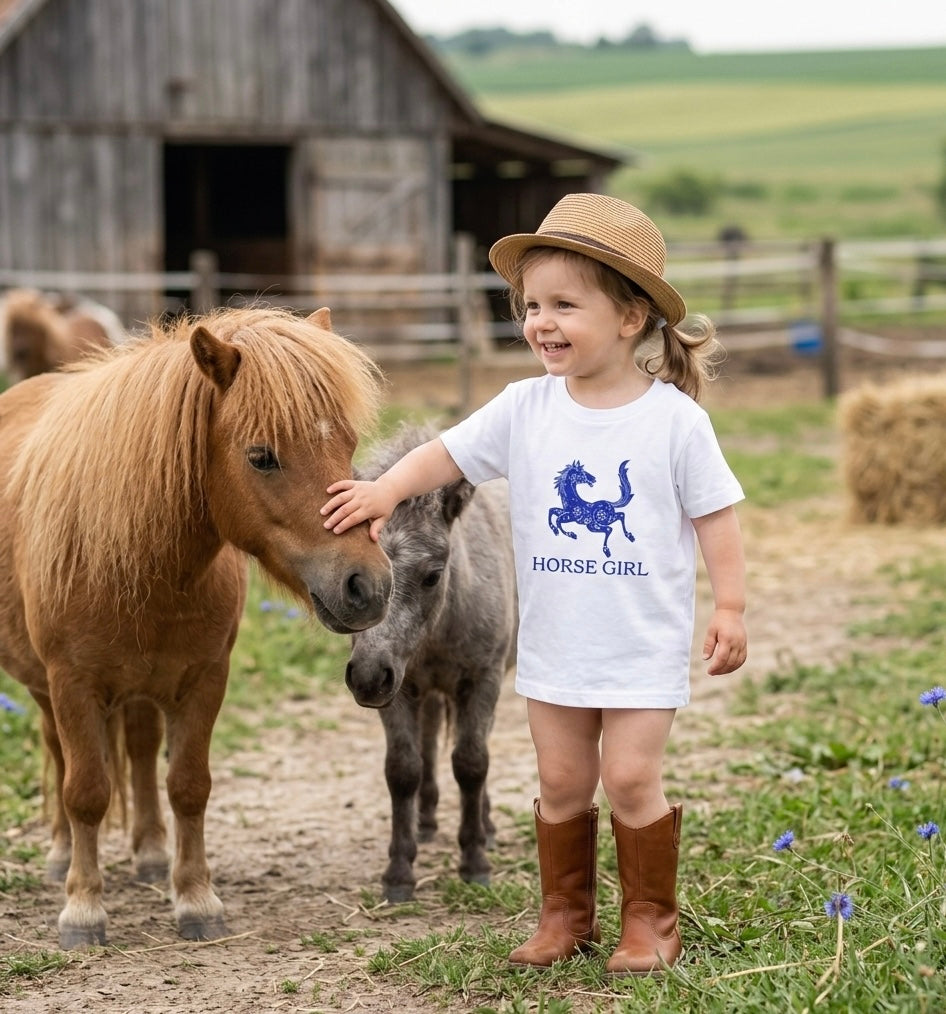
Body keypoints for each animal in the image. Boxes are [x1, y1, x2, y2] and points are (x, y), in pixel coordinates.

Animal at [0, 304, 393, 948]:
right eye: (261, 456)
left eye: (347, 443)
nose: (369, 586)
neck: (137, 561)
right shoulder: (71, 685)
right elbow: (85, 791)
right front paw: (82, 909)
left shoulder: (205, 679)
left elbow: (188, 785)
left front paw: (194, 898)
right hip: (44, 687)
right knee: (59, 755)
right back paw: (60, 857)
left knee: (139, 751)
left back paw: (151, 854)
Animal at [343, 423, 517, 902]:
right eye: (353, 576)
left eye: (432, 575)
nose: (366, 677)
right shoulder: (399, 688)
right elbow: (403, 769)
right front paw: (399, 872)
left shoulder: (482, 679)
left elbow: (472, 762)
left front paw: (474, 861)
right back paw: (425, 821)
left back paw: (486, 824)